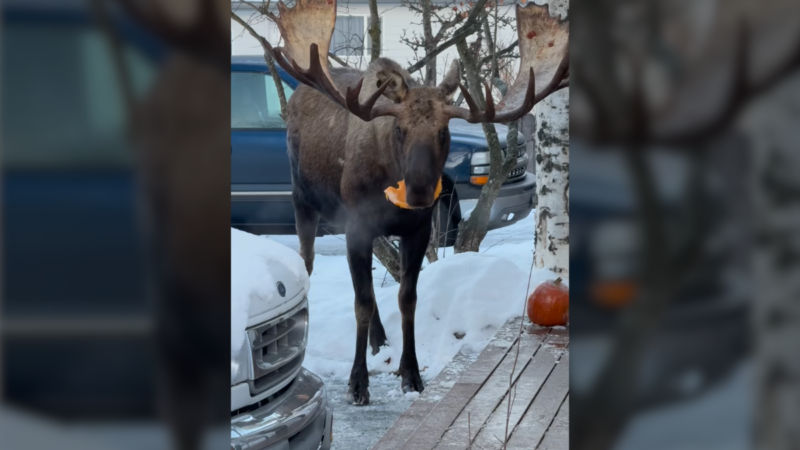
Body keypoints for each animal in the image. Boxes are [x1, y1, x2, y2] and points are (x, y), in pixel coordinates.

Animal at [266, 0, 564, 404]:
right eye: (400, 129)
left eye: (443, 132)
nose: (420, 191)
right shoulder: (357, 224)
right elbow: (361, 301)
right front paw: (357, 382)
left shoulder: (417, 229)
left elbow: (407, 298)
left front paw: (411, 374)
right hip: (303, 199)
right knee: (310, 262)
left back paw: (380, 341)